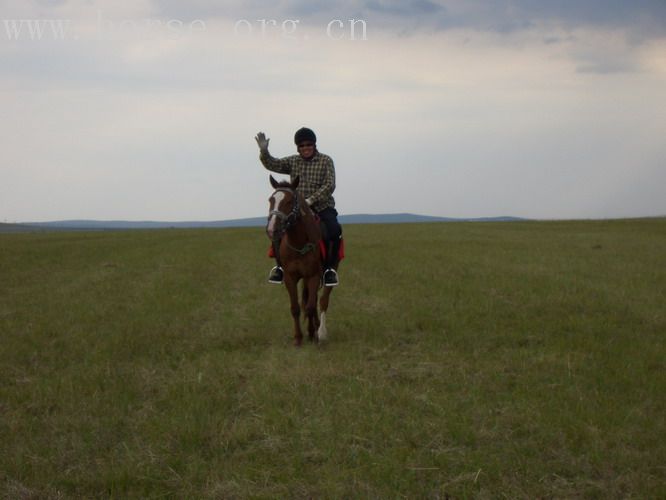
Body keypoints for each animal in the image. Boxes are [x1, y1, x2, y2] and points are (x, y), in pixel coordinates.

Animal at [266, 176, 334, 344]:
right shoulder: (290, 277)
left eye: (289, 201)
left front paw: (312, 334)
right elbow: (296, 308)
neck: (299, 243)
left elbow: (310, 307)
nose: (272, 229)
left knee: (323, 301)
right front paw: (298, 338)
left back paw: (321, 332)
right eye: (271, 200)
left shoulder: (313, 276)